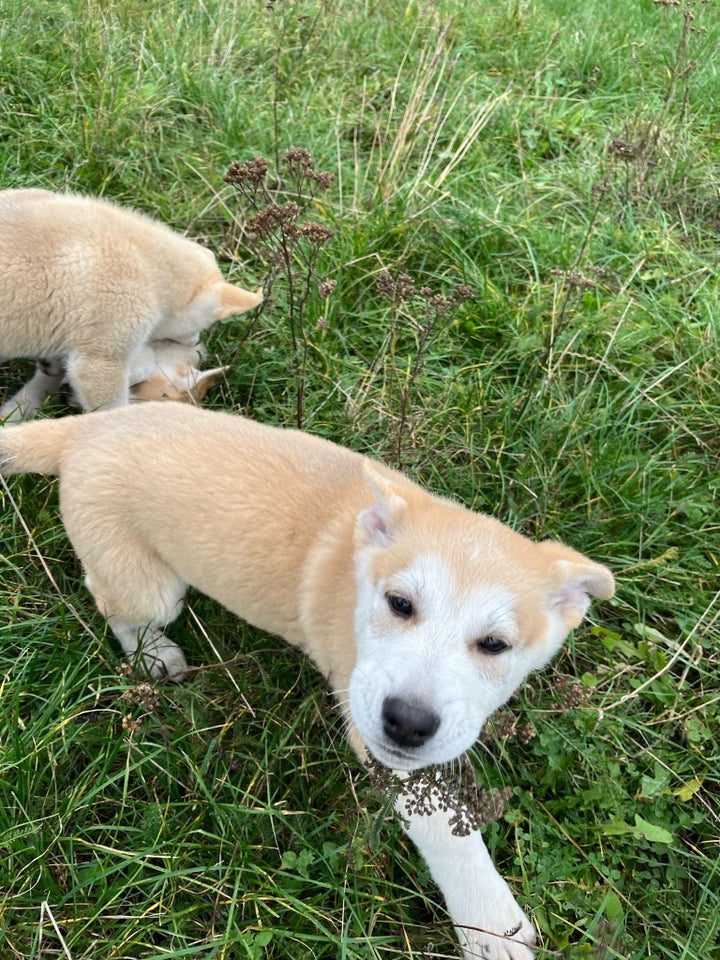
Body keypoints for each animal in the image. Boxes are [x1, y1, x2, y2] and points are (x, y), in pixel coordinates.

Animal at [1, 404, 620, 960]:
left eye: (494, 645)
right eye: (400, 604)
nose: (408, 723)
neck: (358, 576)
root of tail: (87, 427)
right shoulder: (379, 741)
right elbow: (447, 831)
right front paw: (490, 925)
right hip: (148, 585)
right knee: (114, 602)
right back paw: (153, 656)